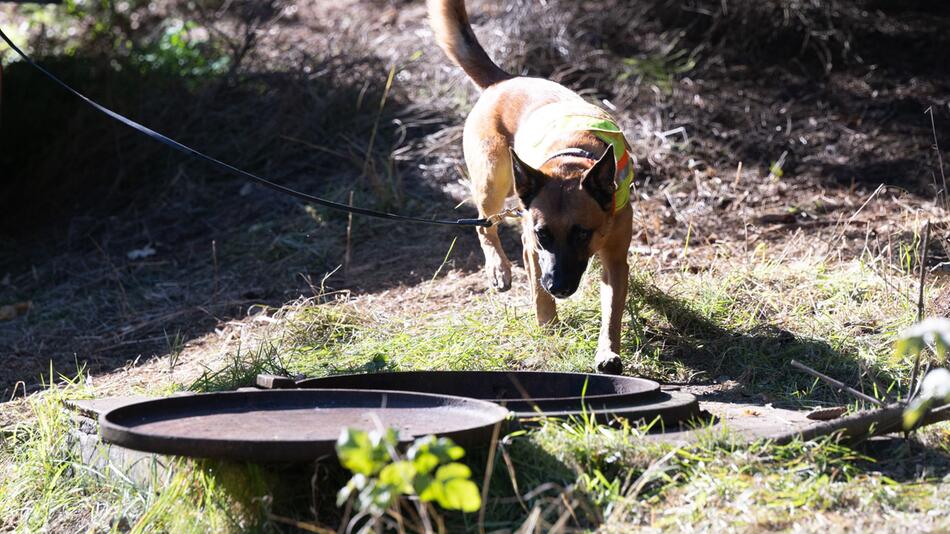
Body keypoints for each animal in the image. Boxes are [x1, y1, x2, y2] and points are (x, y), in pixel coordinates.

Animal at [428, 1, 636, 376]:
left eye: (583, 233)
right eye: (543, 235)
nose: (559, 286)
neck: (571, 160)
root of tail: (503, 81)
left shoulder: (614, 259)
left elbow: (612, 313)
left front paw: (607, 353)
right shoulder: (532, 245)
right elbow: (538, 289)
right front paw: (548, 326)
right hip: (493, 179)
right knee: (485, 224)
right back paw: (498, 269)